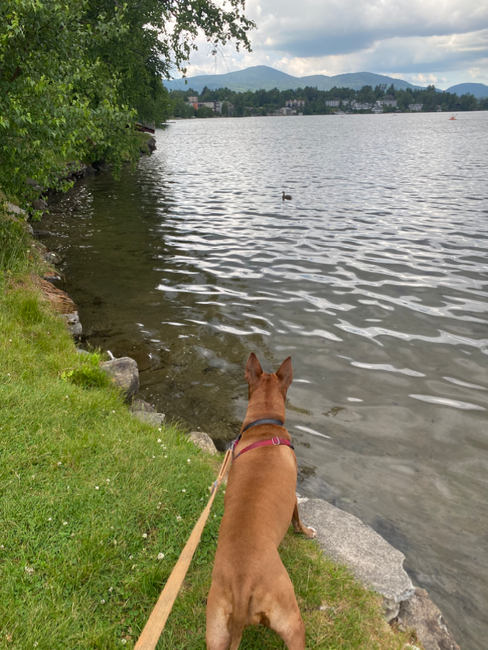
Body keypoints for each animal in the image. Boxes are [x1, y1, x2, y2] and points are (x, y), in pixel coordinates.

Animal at [206, 354, 316, 648]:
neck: (265, 426)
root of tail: (242, 583)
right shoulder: (293, 495)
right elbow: (297, 517)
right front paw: (306, 532)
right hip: (291, 621)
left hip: (216, 628)